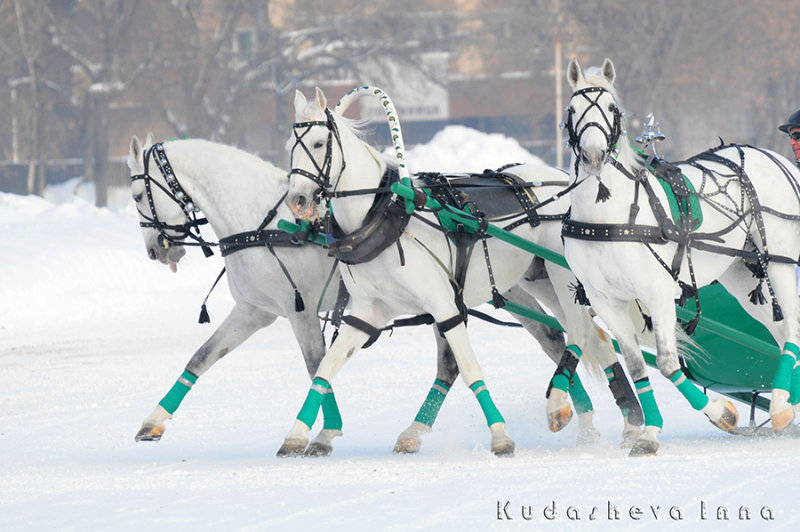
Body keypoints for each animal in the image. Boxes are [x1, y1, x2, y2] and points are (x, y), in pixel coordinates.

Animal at [125, 135, 616, 456]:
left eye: (136, 194)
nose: (154, 250)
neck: (263, 221)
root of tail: (553, 179)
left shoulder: (299, 312)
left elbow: (315, 366)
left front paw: (324, 432)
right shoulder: (254, 311)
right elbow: (200, 358)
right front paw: (153, 422)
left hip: (544, 278)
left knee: (571, 336)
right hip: (519, 284)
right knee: (557, 339)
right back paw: (582, 419)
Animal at [282, 88, 644, 458]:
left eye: (318, 143)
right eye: (290, 146)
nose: (297, 200)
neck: (386, 213)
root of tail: (563, 179)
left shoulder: (445, 306)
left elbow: (468, 368)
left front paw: (499, 436)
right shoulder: (367, 314)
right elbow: (326, 369)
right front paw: (302, 435)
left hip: (563, 276)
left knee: (580, 333)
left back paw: (577, 409)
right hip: (537, 282)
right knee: (588, 339)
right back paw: (614, 422)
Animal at [564, 60, 800, 456]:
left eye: (612, 108)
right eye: (572, 109)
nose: (595, 156)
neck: (609, 217)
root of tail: (775, 157)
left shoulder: (657, 293)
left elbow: (667, 363)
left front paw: (718, 411)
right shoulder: (606, 300)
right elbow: (638, 368)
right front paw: (651, 431)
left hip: (778, 259)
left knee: (793, 325)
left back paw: (782, 403)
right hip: (740, 273)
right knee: (781, 331)